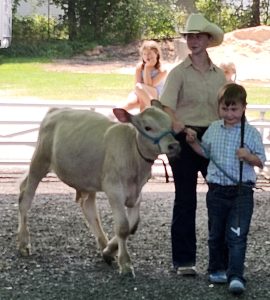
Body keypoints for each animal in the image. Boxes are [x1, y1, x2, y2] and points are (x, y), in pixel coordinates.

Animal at [17, 99, 180, 276]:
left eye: (170, 124)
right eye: (148, 127)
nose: (174, 146)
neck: (133, 153)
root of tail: (55, 110)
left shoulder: (137, 193)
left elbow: (133, 225)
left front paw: (109, 251)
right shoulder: (114, 190)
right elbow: (123, 227)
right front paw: (125, 264)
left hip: (87, 178)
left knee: (88, 207)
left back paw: (103, 244)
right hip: (39, 161)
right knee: (25, 198)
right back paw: (23, 243)